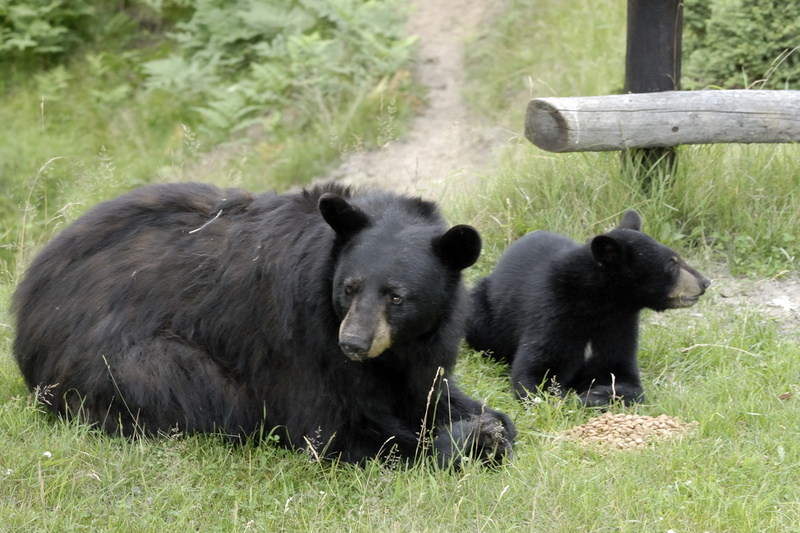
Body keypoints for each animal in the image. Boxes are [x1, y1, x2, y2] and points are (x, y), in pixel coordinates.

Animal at [14, 183, 520, 466]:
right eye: (350, 288)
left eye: (397, 297)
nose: (353, 343)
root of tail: (26, 307)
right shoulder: (300, 342)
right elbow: (334, 429)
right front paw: (469, 441)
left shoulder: (425, 345)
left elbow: (430, 392)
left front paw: (489, 423)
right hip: (119, 360)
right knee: (184, 386)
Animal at [466, 210, 708, 406]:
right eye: (672, 265)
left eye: (677, 258)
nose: (705, 282)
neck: (600, 305)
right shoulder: (551, 312)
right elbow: (534, 373)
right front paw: (567, 397)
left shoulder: (619, 326)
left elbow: (623, 375)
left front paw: (597, 395)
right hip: (482, 309)